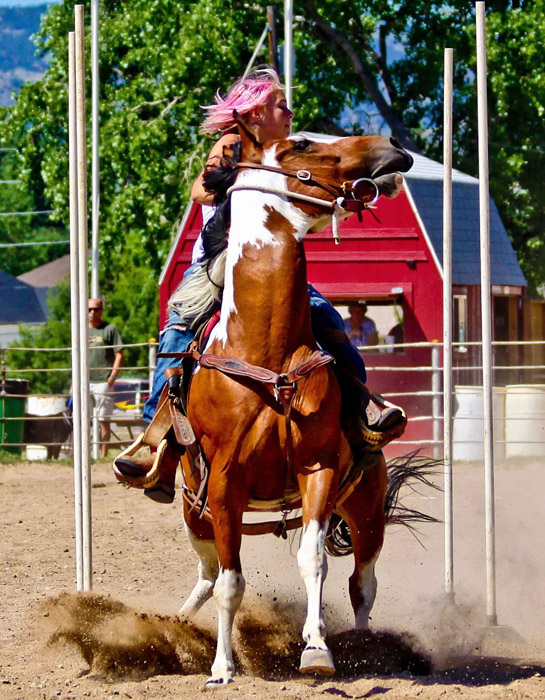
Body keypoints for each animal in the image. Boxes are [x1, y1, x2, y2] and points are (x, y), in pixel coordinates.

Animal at [178, 129, 412, 688]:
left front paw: (317, 649)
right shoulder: (224, 484)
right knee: (207, 574)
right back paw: (177, 623)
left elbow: (314, 560)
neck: (268, 351)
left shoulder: (317, 469)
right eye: (302, 143)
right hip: (194, 509)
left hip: (367, 507)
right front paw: (222, 666)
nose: (391, 147)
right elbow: (230, 582)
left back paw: (365, 643)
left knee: (362, 582)